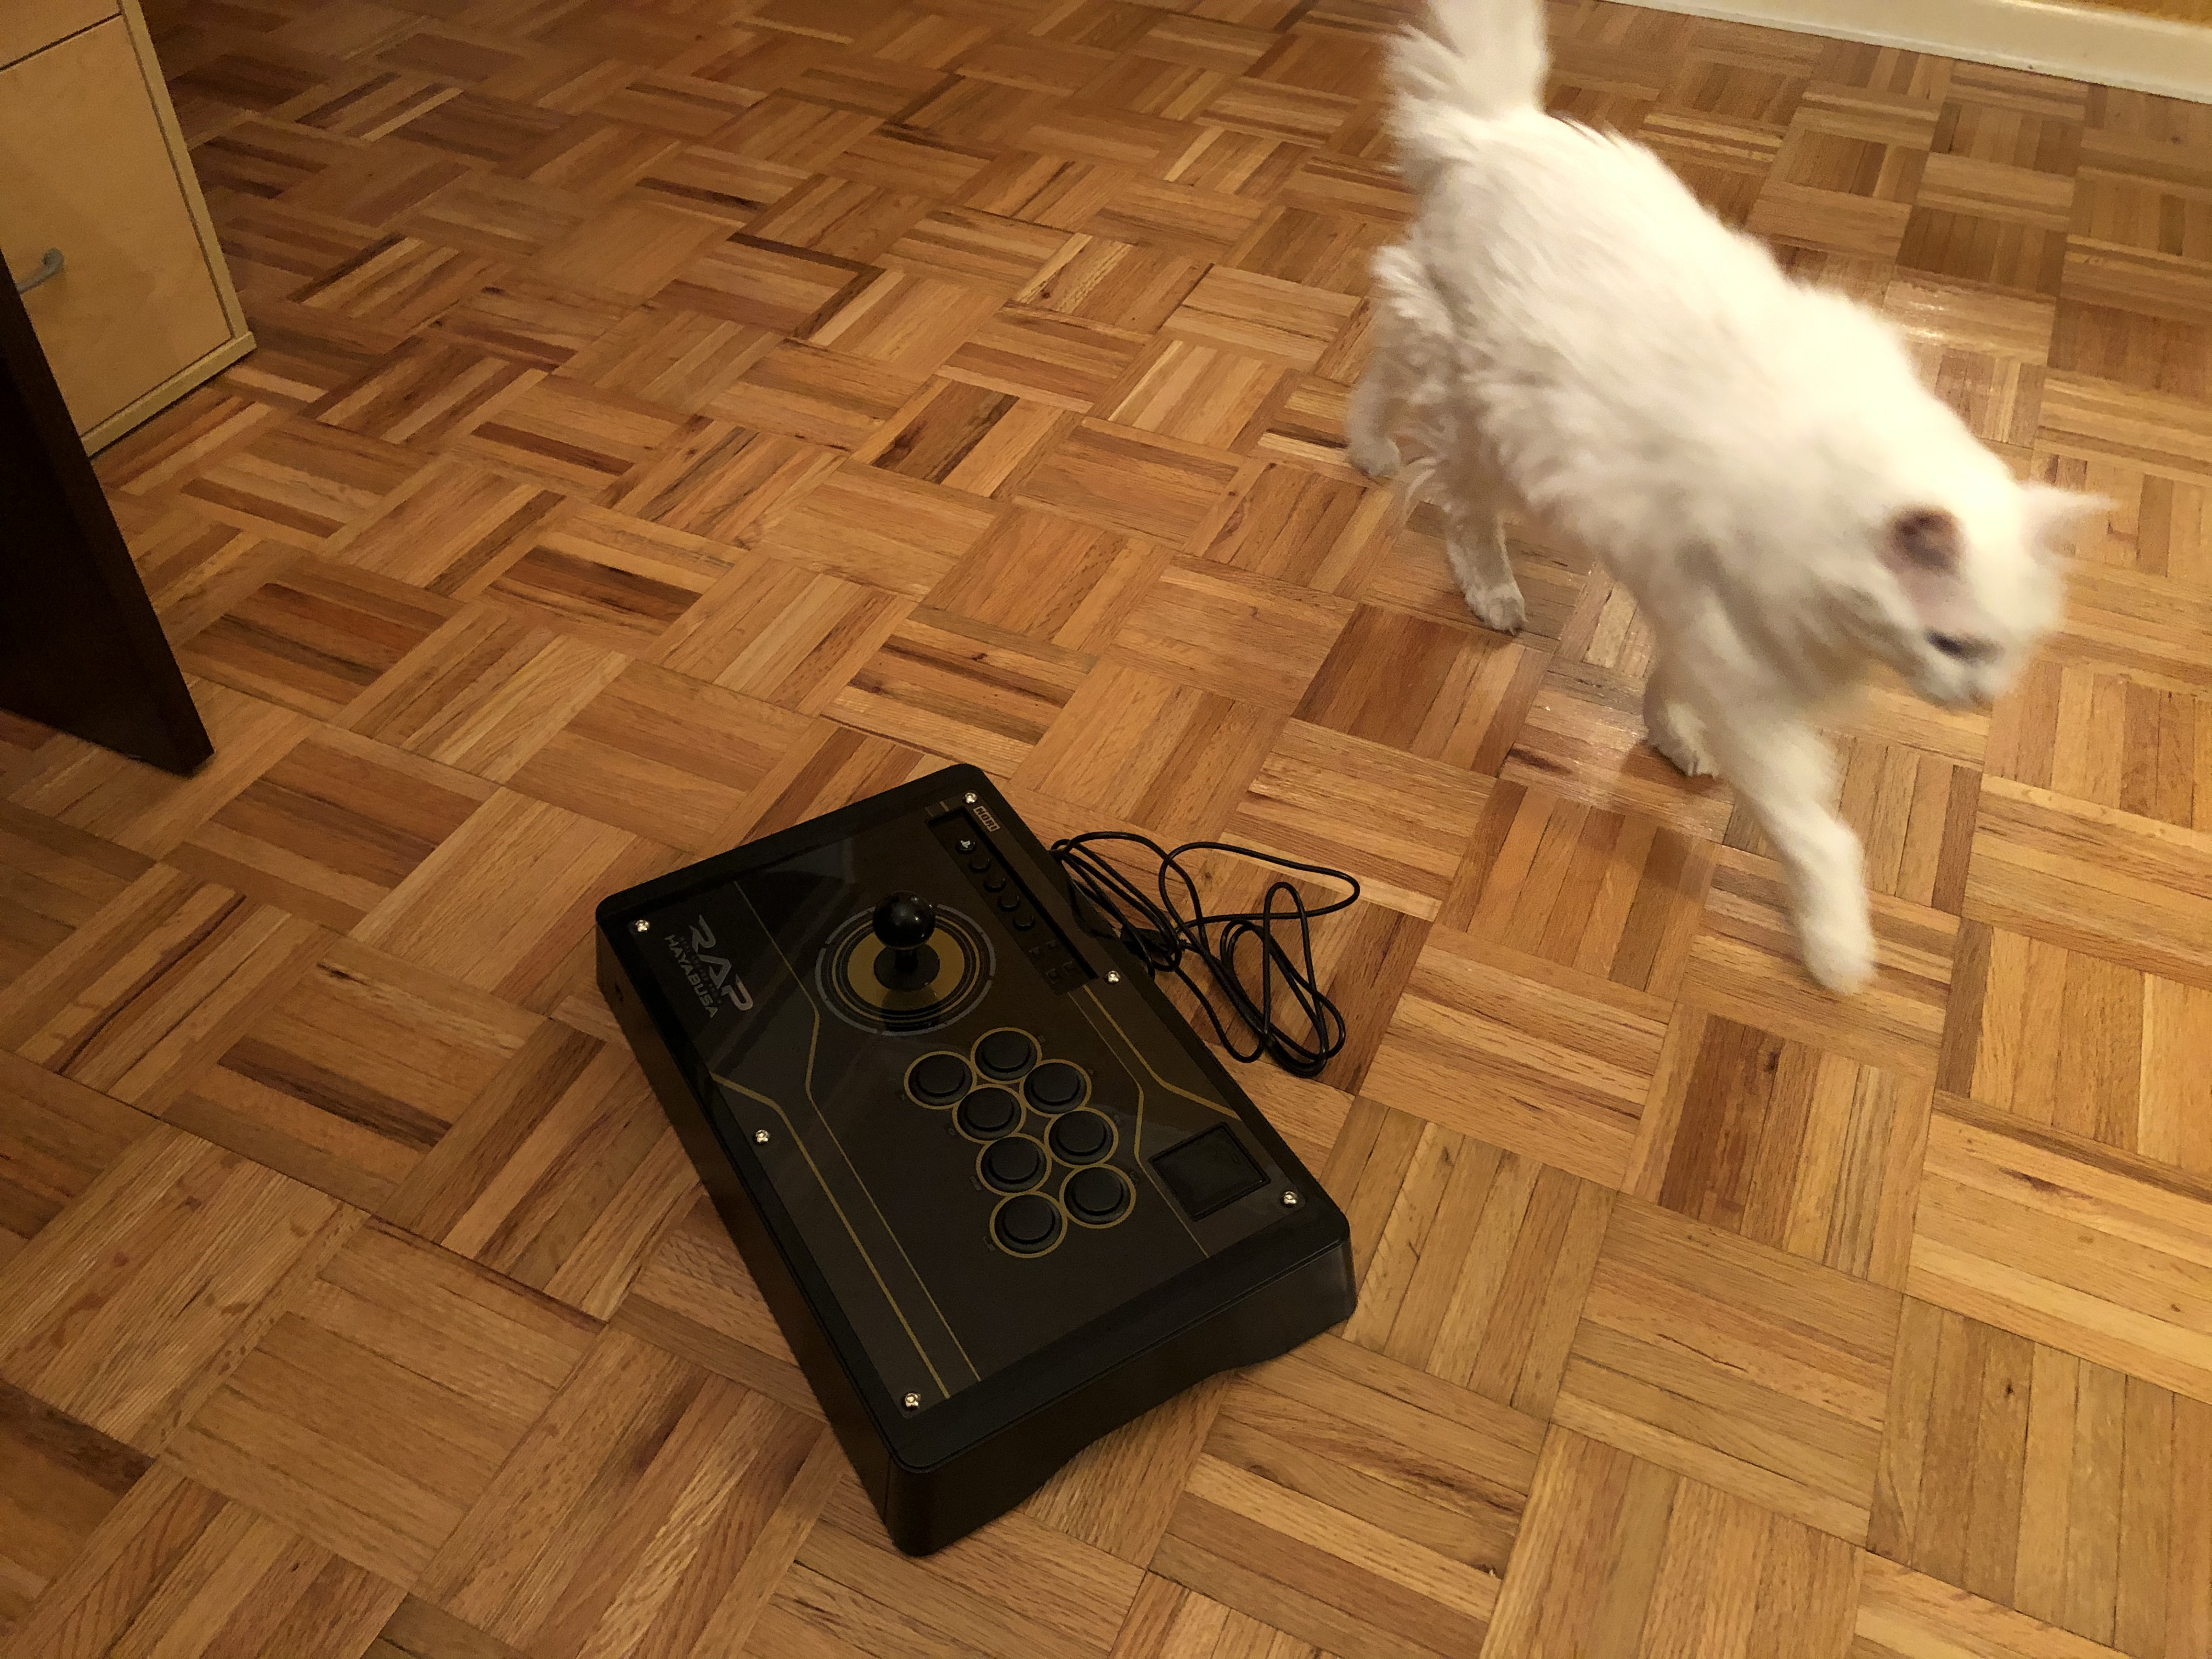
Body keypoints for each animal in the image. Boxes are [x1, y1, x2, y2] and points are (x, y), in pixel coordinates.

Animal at [1348, 0, 2104, 993]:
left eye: (2008, 654)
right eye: (1953, 644)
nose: (1979, 700)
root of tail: (1495, 128)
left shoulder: (1696, 615)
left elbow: (1668, 687)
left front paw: (1671, 737)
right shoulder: (1748, 673)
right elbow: (1818, 834)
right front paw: (1839, 952)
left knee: (1386, 377)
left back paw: (1371, 453)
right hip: (1486, 423)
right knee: (1454, 500)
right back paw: (1465, 562)